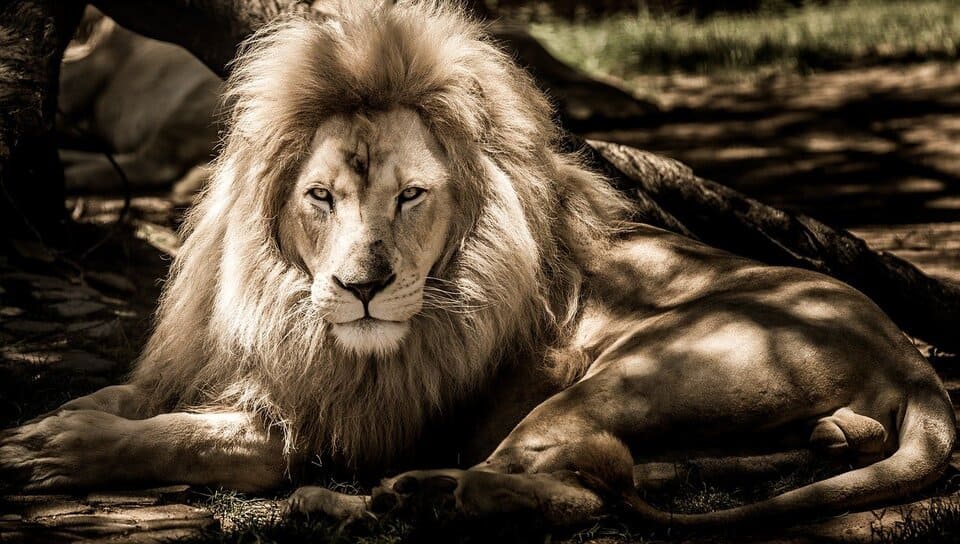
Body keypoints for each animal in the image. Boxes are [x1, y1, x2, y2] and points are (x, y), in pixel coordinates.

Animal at [2, 0, 954, 528]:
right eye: (321, 197)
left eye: (413, 196)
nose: (363, 289)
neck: (282, 301)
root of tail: (906, 355)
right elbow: (132, 397)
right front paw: (57, 421)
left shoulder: (344, 425)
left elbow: (203, 439)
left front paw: (59, 449)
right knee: (624, 474)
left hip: (632, 374)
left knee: (563, 489)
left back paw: (384, 502)